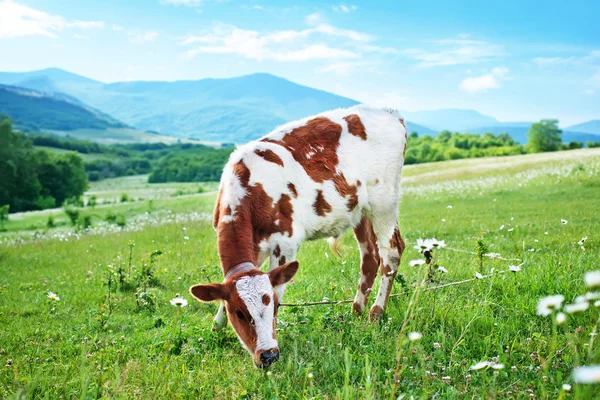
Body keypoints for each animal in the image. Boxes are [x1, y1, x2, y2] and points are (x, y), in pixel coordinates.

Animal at [190, 104, 410, 368]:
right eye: (239, 313)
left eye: (274, 307)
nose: (268, 356)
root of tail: (389, 111)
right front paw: (216, 328)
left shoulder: (285, 243)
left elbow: (279, 285)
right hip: (359, 210)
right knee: (370, 257)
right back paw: (356, 311)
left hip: (384, 202)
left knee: (391, 252)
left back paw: (375, 314)